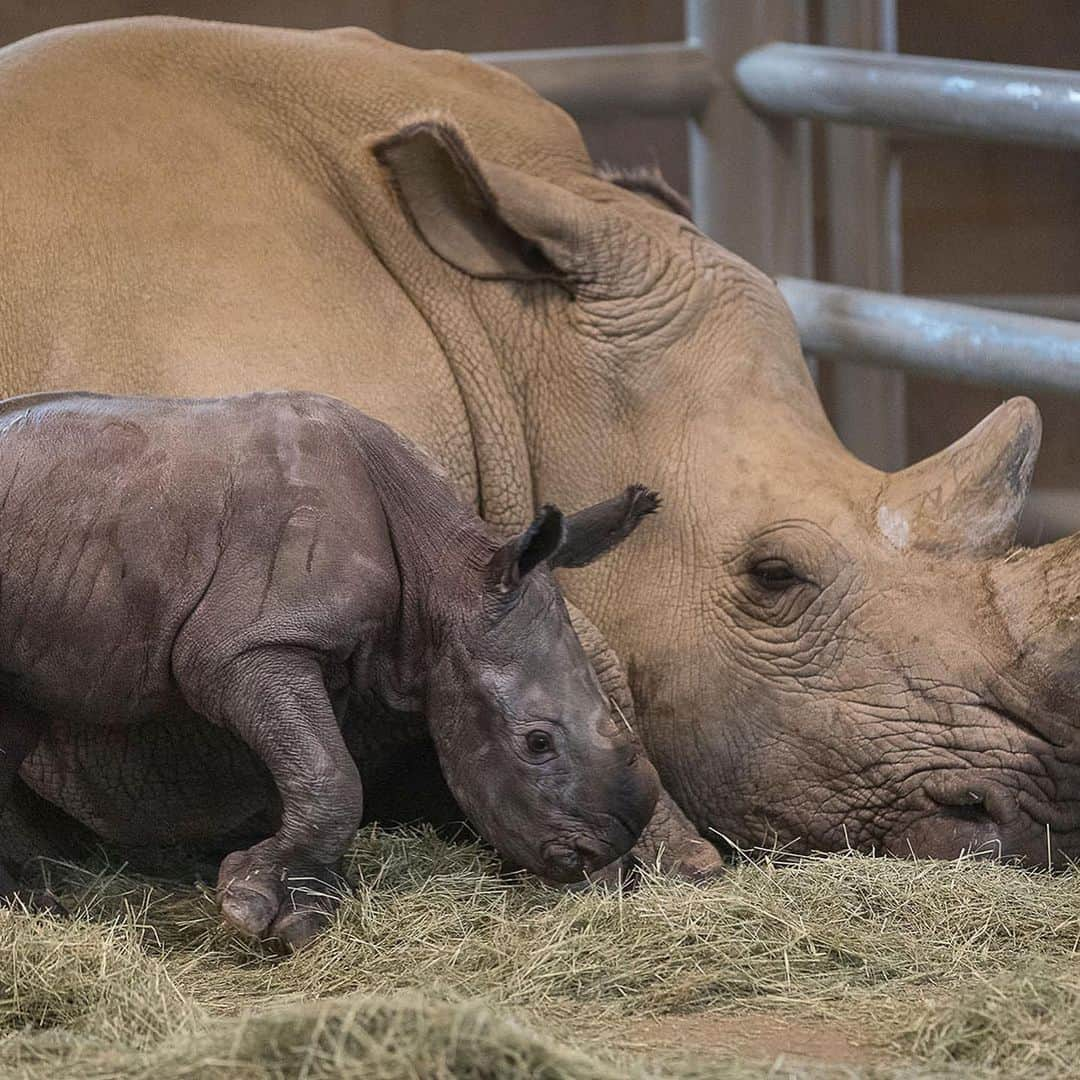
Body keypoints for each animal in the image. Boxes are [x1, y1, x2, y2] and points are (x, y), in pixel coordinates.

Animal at [0, 393, 656, 950]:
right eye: (537, 743)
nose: (599, 851)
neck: (445, 575)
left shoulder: (321, 657)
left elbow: (318, 768)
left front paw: (299, 901)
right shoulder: (249, 645)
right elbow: (332, 773)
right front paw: (259, 910)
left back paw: (29, 904)